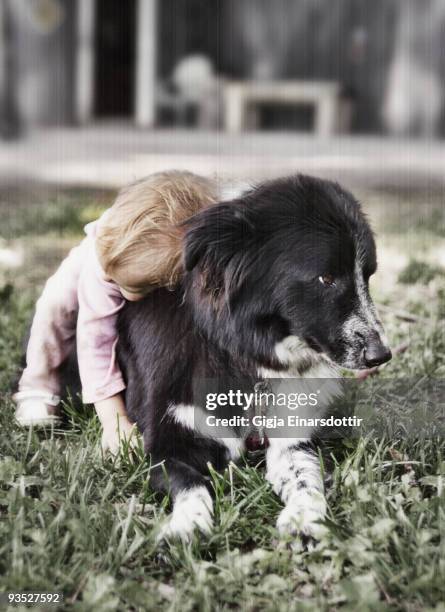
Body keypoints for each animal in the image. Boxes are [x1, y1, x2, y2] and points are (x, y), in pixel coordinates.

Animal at [117, 173, 388, 540]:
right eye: (326, 278)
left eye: (368, 276)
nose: (381, 355)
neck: (241, 353)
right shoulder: (168, 442)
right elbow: (190, 483)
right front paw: (189, 524)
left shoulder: (290, 436)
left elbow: (307, 478)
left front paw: (304, 518)